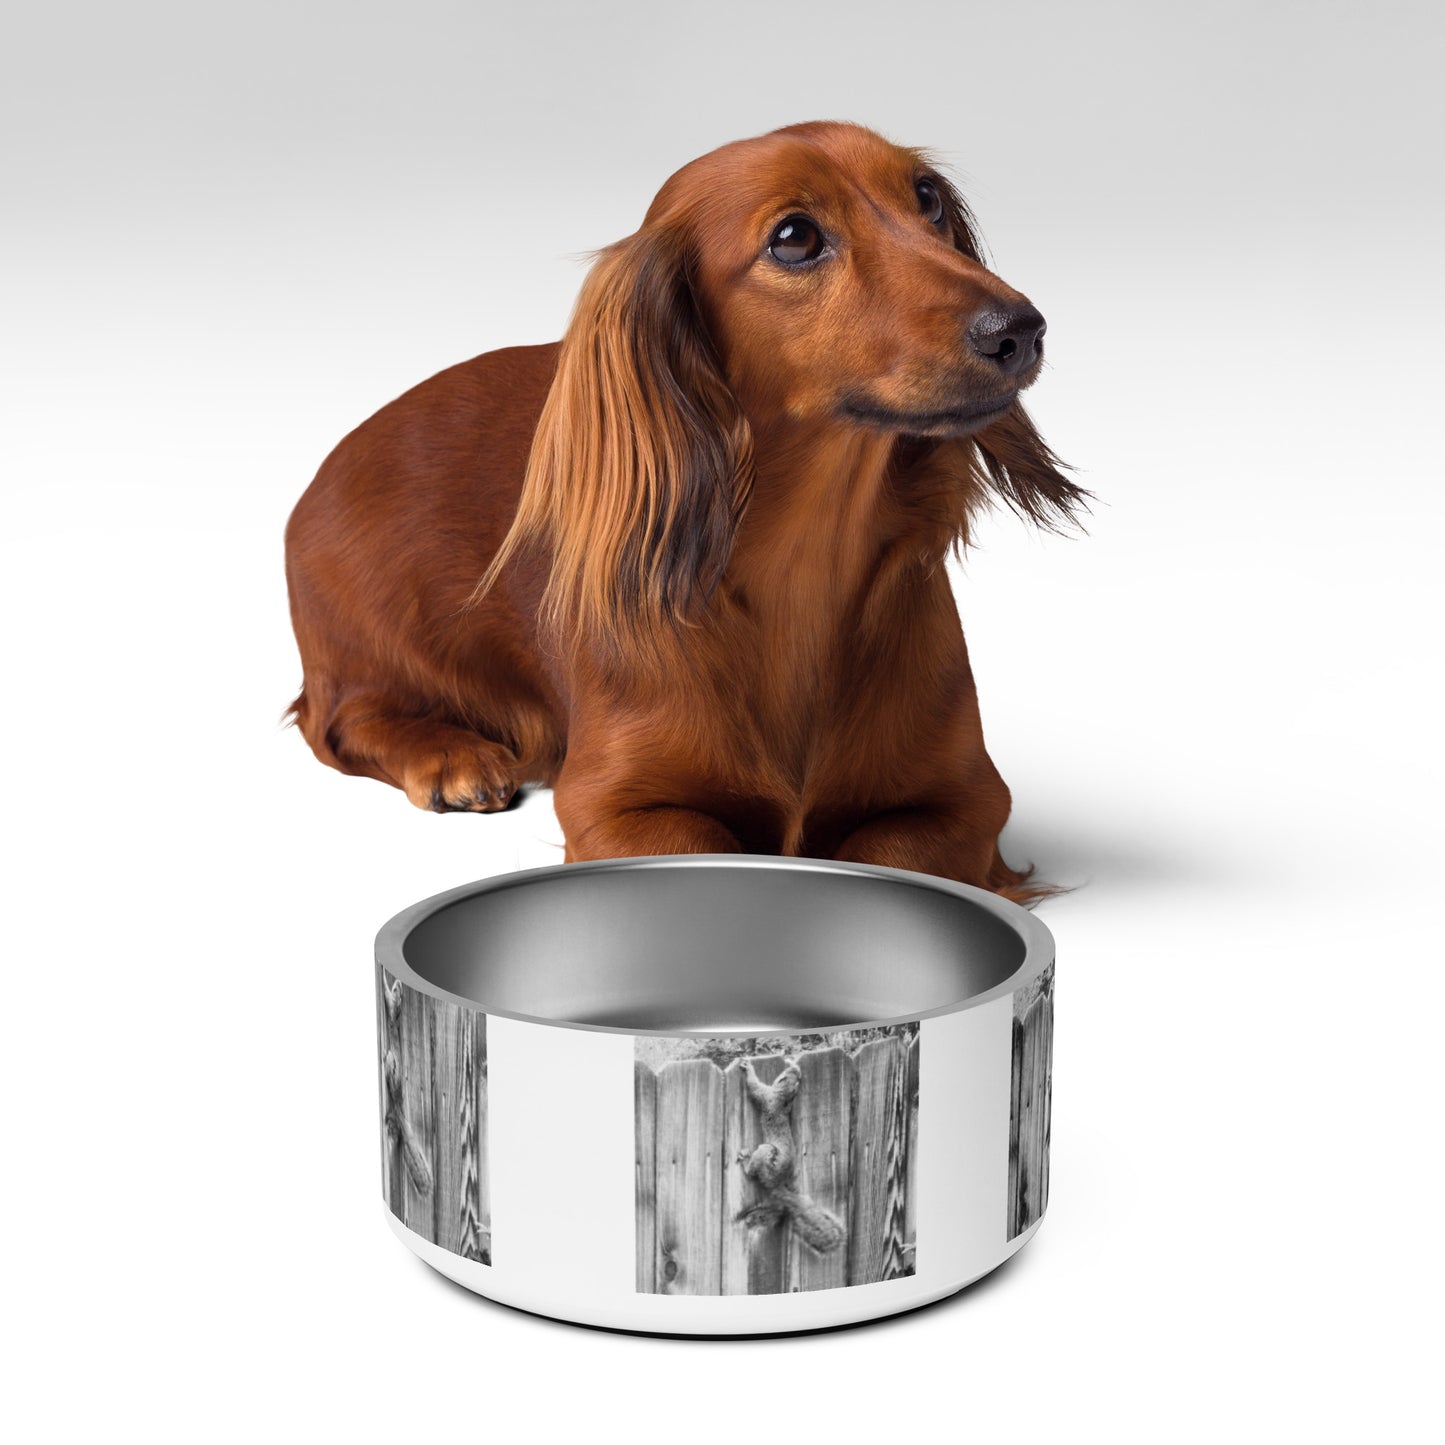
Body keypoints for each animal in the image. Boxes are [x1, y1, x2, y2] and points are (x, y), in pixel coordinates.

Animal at [736, 1057, 846, 1255]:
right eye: (794, 1077)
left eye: (784, 1076)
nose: (794, 1069)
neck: (782, 1099)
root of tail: (778, 1184)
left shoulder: (766, 1096)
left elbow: (754, 1087)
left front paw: (748, 1068)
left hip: (765, 1153)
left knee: (752, 1172)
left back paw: (746, 1161)